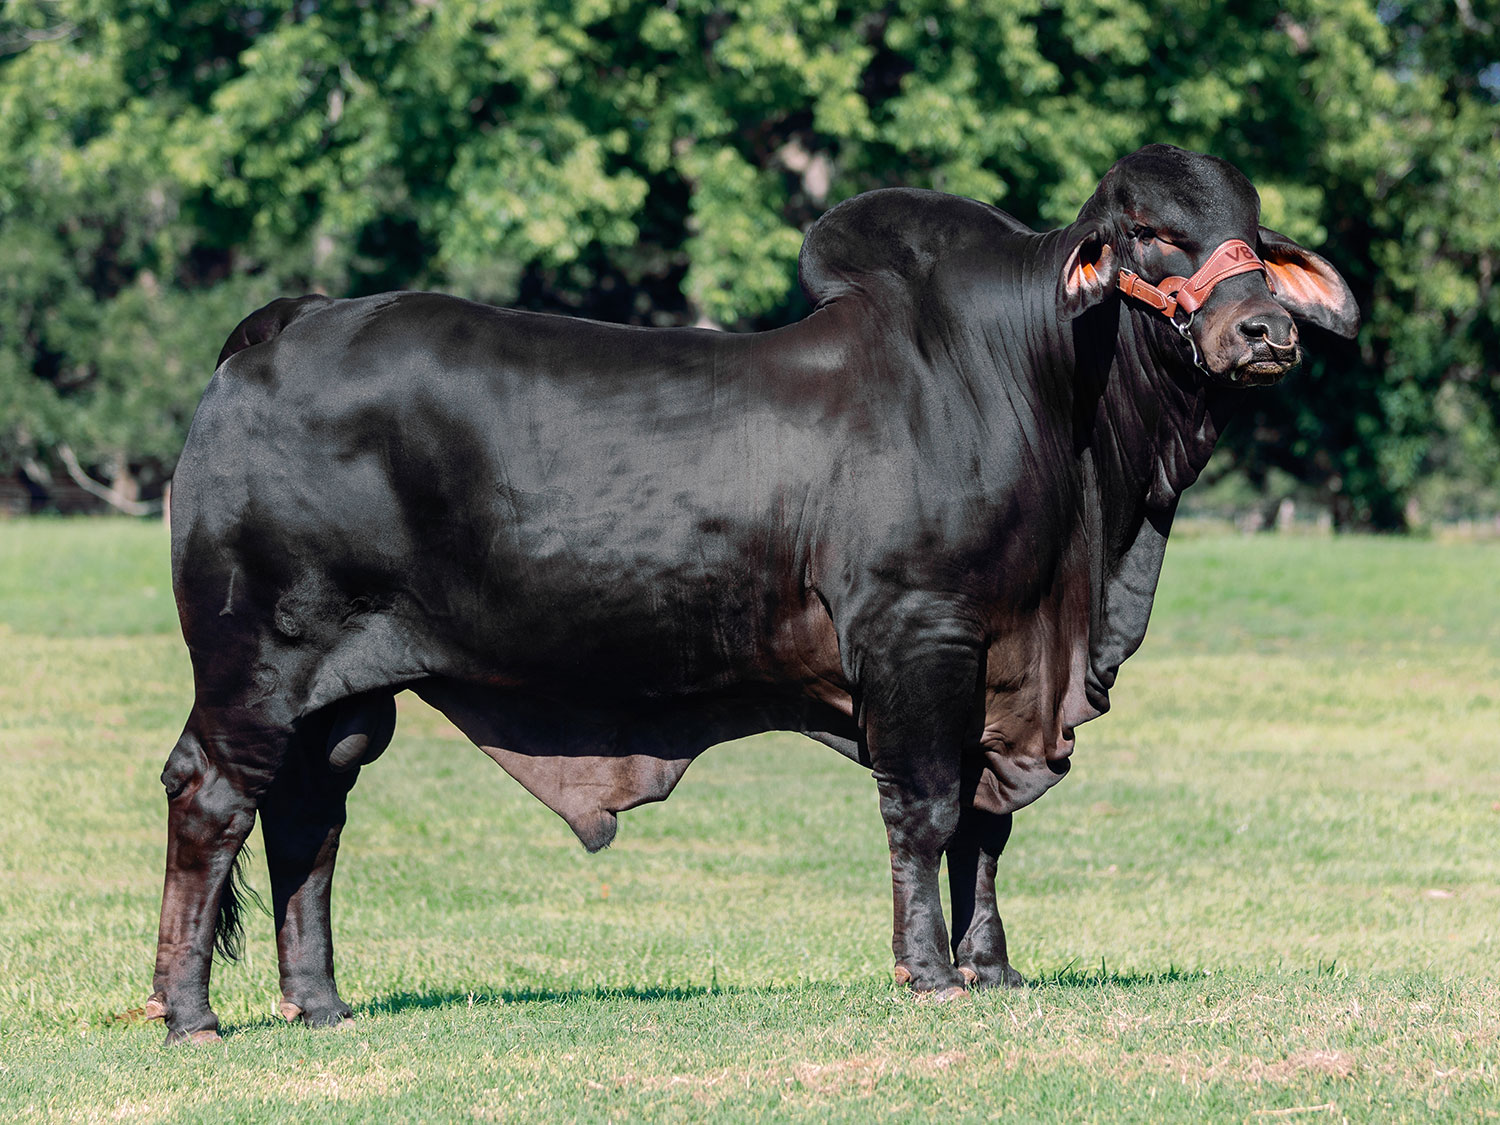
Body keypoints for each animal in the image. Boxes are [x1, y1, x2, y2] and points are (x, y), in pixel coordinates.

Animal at [149, 145, 1362, 1044]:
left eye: (1252, 230)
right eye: (1152, 233)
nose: (1263, 330)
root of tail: (285, 325)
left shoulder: (1000, 663)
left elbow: (986, 825)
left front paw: (995, 967)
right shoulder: (920, 636)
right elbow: (929, 810)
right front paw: (927, 971)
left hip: (344, 696)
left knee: (310, 817)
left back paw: (320, 1003)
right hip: (254, 664)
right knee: (213, 799)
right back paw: (190, 1012)